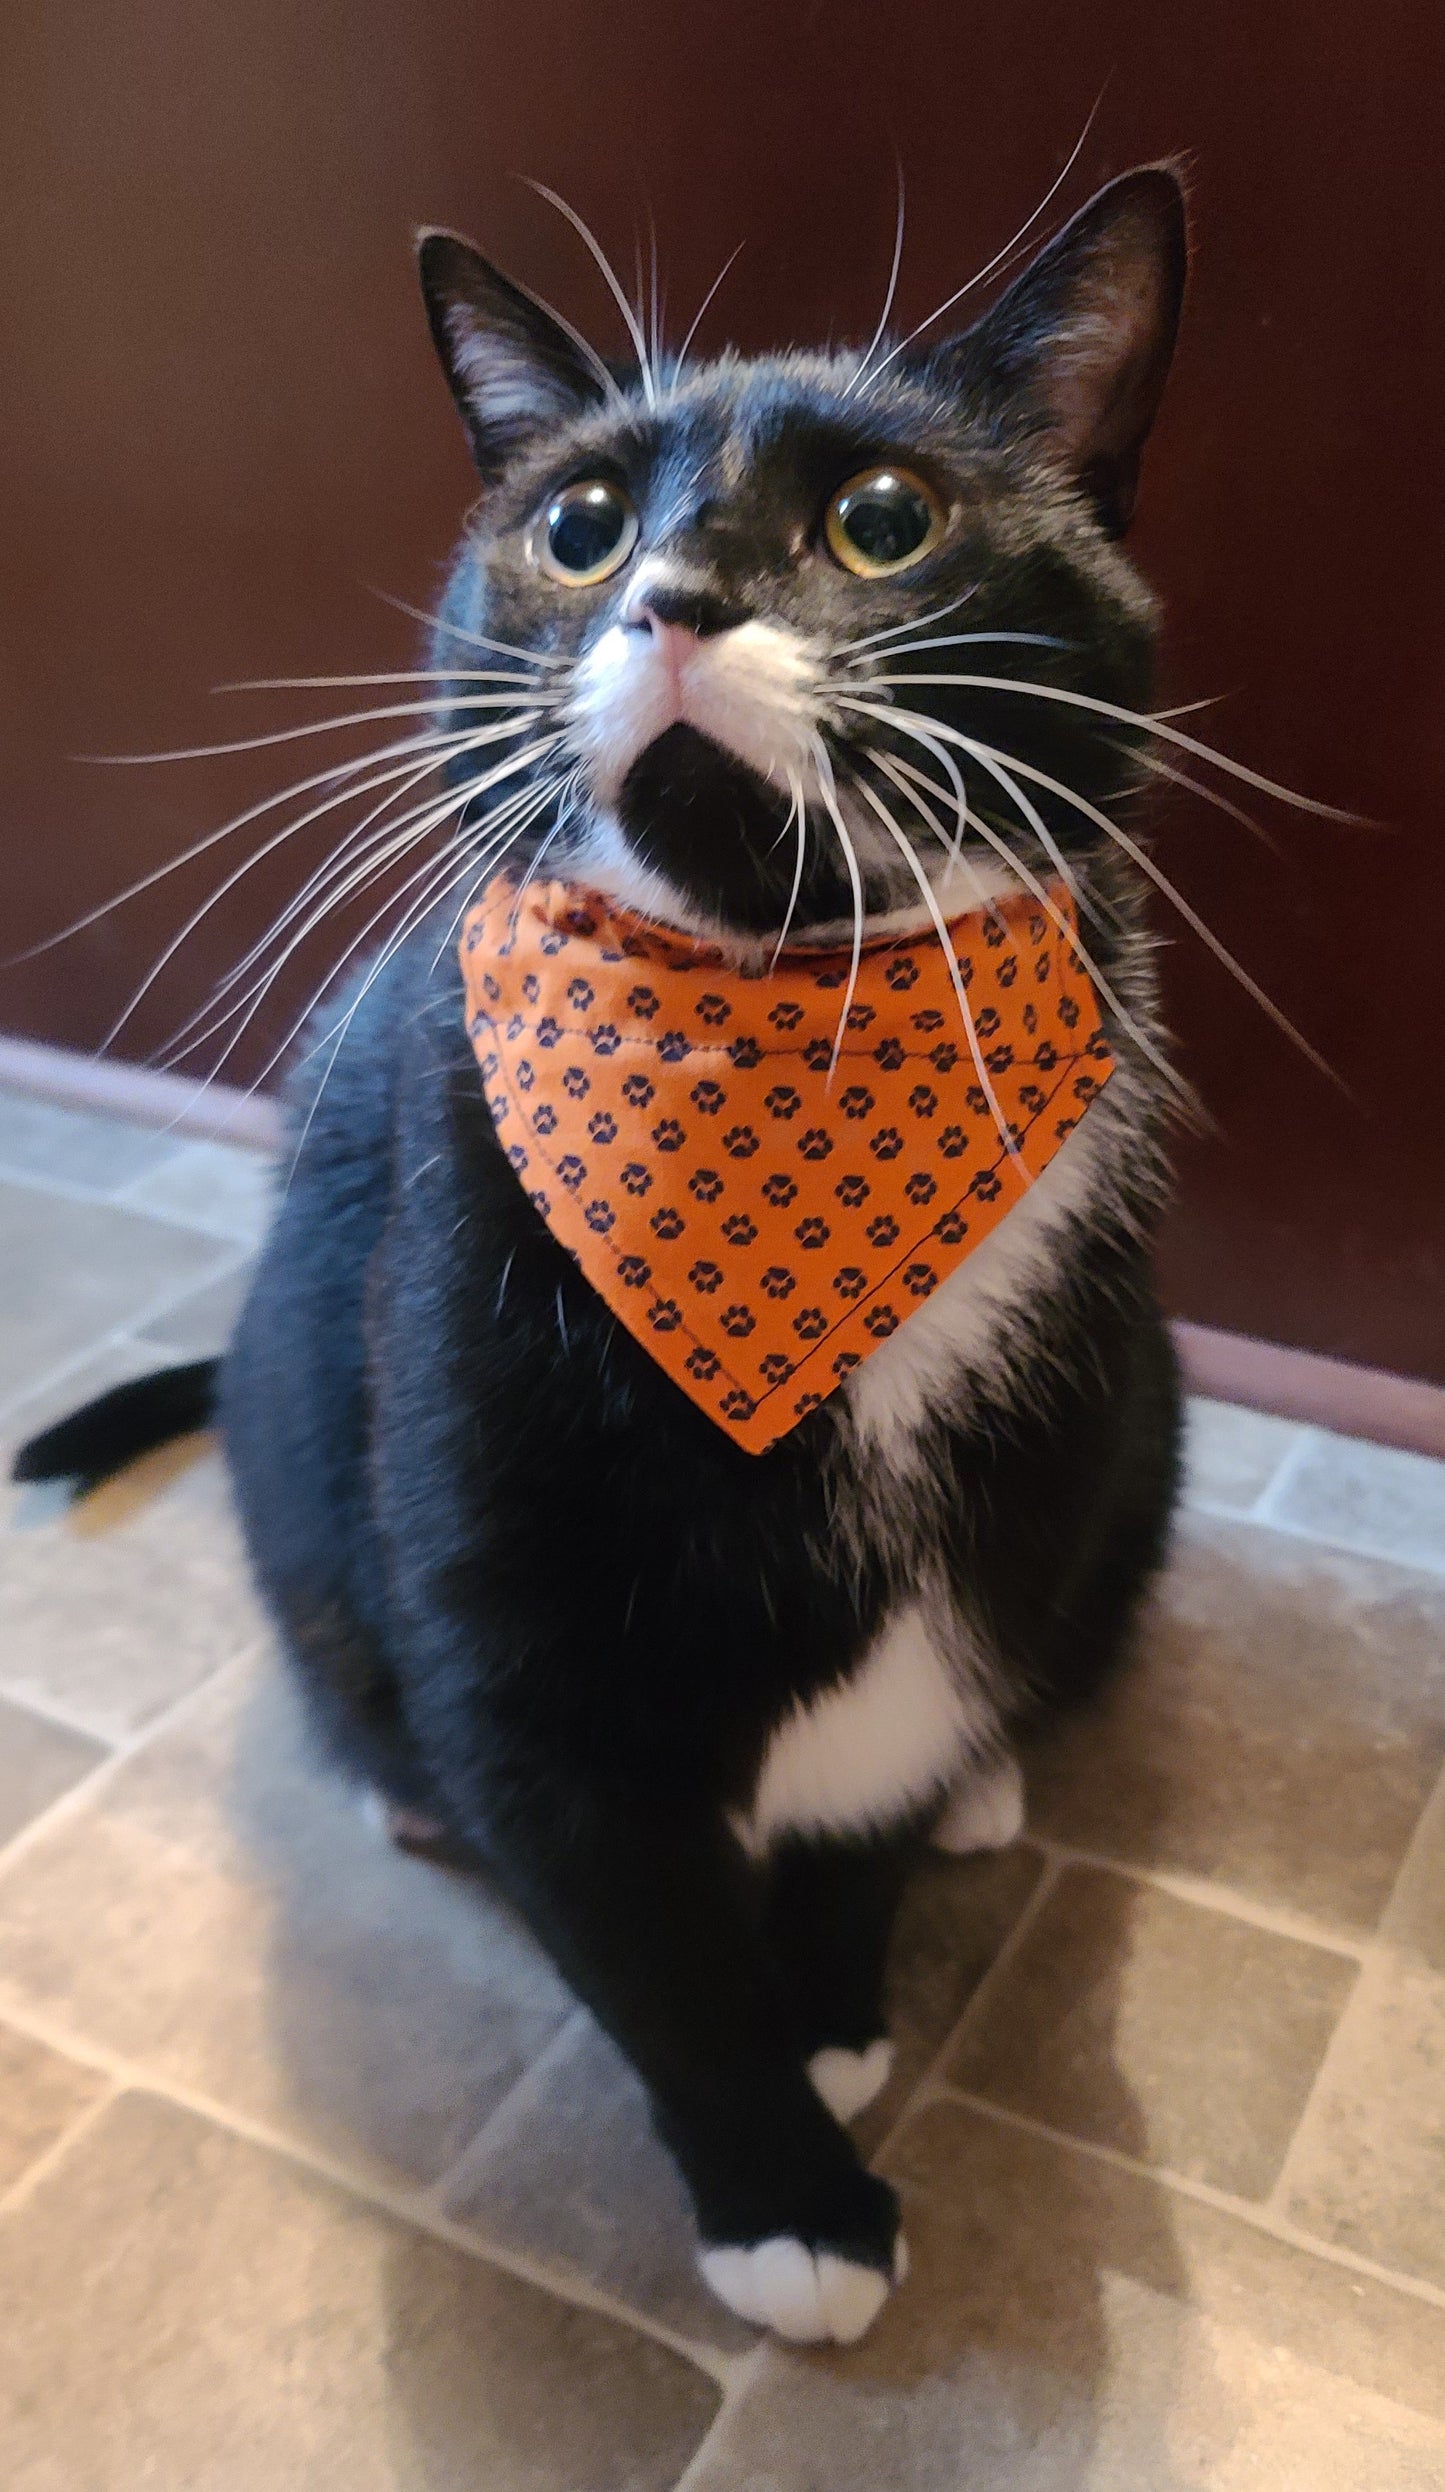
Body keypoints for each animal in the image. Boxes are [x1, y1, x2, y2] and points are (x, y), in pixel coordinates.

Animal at [16, 165, 1190, 2342]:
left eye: (882, 518)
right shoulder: (491, 1558)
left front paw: (830, 2002)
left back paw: (991, 1780)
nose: (673, 595)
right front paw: (781, 2191)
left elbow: (875, 1776)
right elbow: (618, 1907)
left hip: (1131, 1411)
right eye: (573, 527)